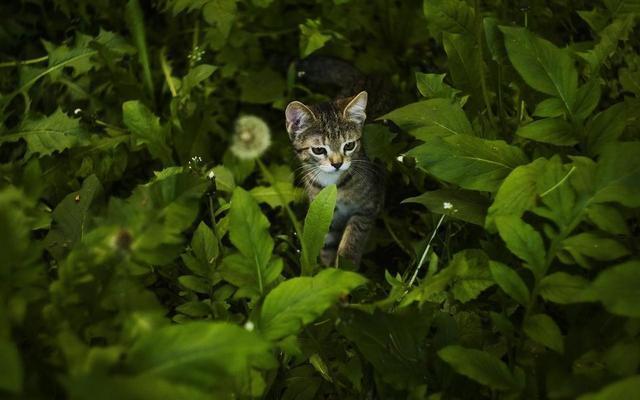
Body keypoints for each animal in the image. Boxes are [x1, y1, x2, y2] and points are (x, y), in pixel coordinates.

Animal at [286, 90, 384, 266]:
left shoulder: (368, 207)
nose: (337, 163)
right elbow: (326, 245)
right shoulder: (326, 211)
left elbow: (352, 238)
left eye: (349, 145)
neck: (334, 184)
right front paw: (327, 268)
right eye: (318, 150)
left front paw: (345, 265)